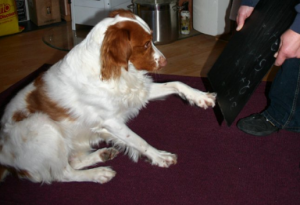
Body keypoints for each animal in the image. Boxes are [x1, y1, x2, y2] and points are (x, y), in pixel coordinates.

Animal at [0, 9, 216, 183]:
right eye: (146, 44)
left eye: (152, 39)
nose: (164, 62)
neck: (114, 71)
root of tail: (4, 158)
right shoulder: (111, 121)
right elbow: (139, 140)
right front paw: (160, 157)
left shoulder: (138, 93)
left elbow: (177, 83)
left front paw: (201, 97)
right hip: (43, 126)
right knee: (63, 173)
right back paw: (98, 173)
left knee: (74, 161)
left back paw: (102, 154)